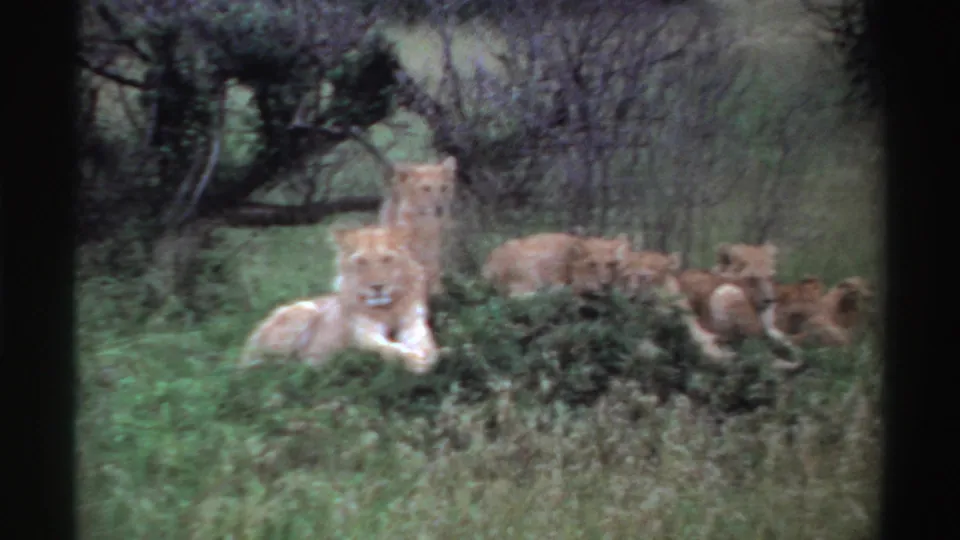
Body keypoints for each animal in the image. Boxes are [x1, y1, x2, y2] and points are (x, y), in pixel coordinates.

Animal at [239, 225, 439, 374]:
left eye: (387, 259)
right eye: (361, 262)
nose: (377, 287)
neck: (387, 308)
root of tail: (249, 342)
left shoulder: (414, 323)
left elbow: (425, 342)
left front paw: (429, 355)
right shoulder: (363, 334)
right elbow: (386, 349)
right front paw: (413, 360)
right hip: (305, 310)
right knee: (268, 366)